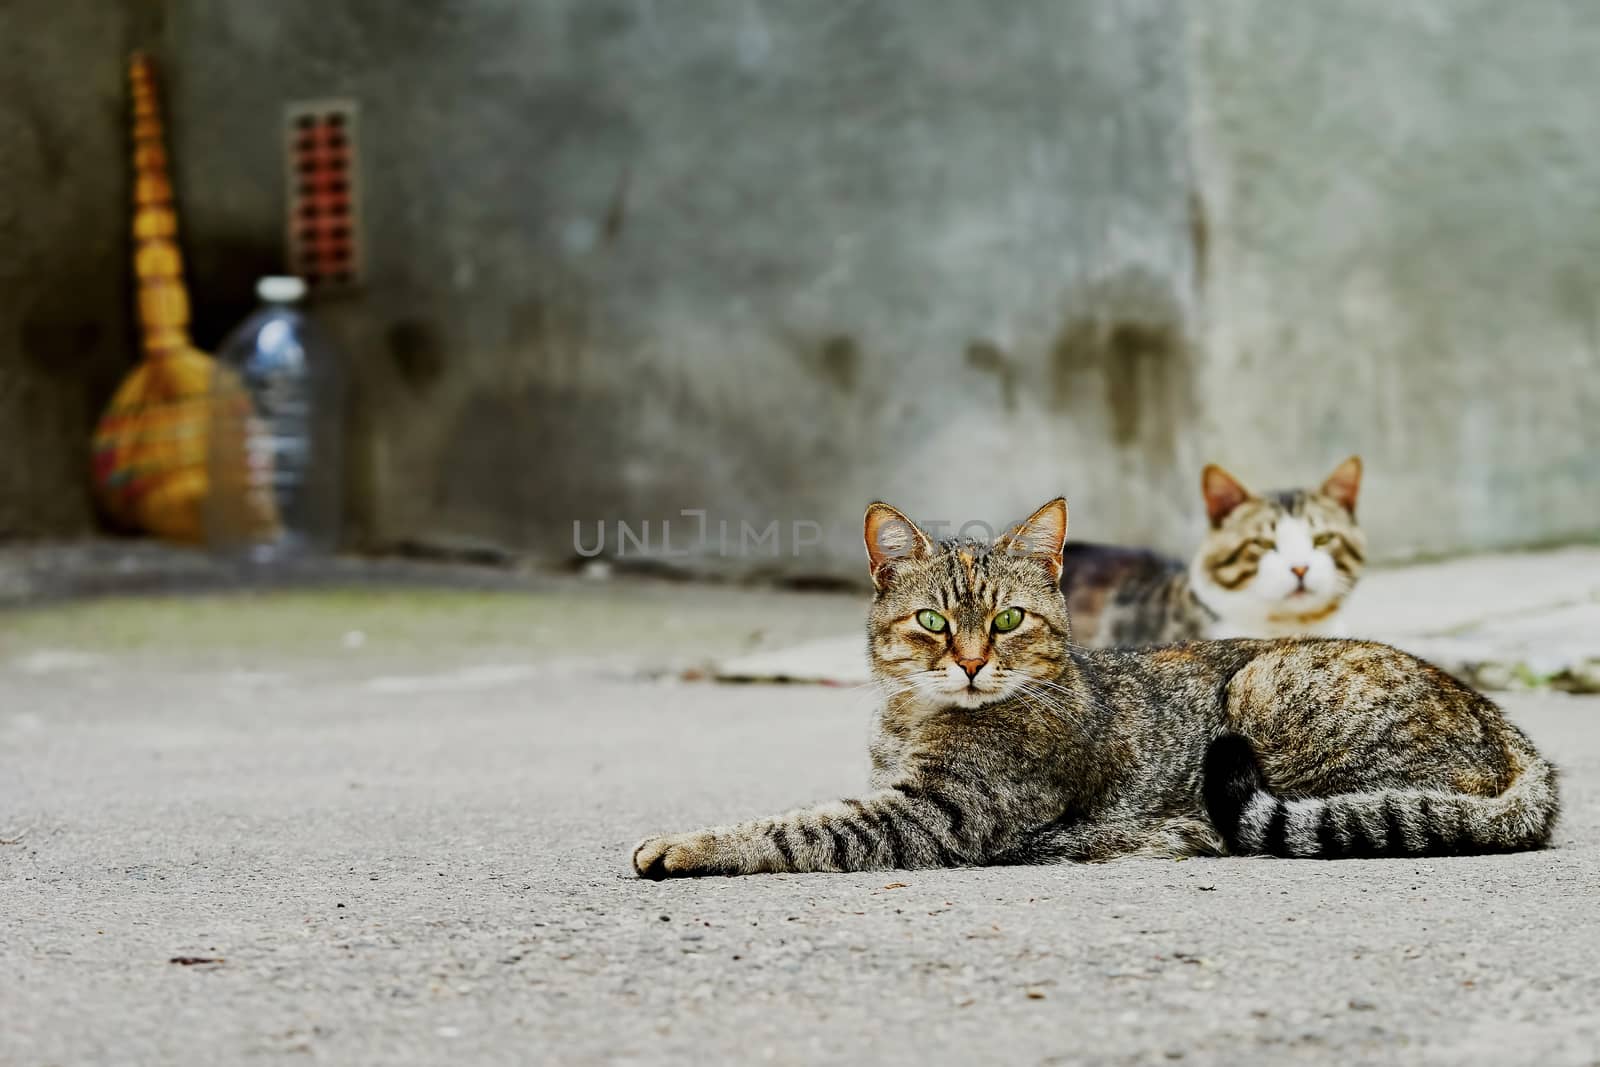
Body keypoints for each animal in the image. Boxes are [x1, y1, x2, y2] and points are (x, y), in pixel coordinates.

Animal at [630, 499, 1555, 876]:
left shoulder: (928, 815)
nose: (972, 661)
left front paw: (686, 844)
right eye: (934, 621)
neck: (915, 713)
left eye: (1006, 621)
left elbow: (795, 828)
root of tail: (1513, 732)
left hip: (1266, 689)